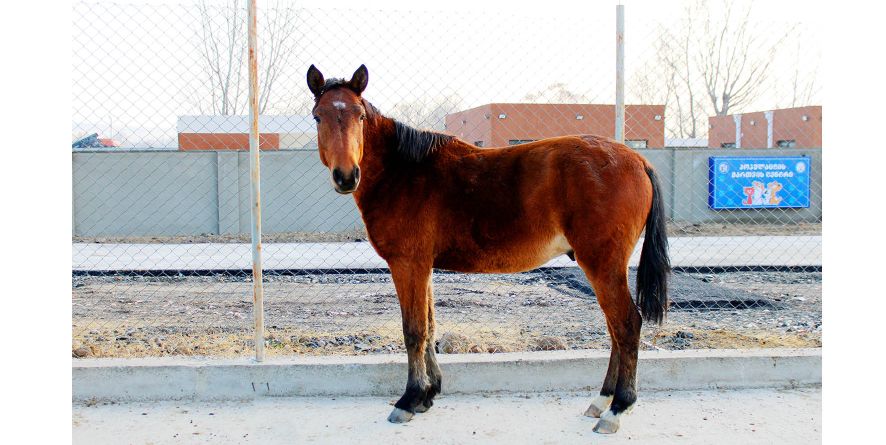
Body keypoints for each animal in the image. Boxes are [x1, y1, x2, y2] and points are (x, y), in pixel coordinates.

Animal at [308, 64, 668, 432]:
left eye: (360, 116)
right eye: (318, 116)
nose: (346, 176)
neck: (404, 172)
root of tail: (637, 160)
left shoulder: (407, 264)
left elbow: (414, 330)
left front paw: (409, 400)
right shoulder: (423, 266)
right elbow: (430, 326)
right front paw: (428, 395)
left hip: (602, 264)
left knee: (626, 324)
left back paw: (617, 408)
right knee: (615, 328)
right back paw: (601, 401)